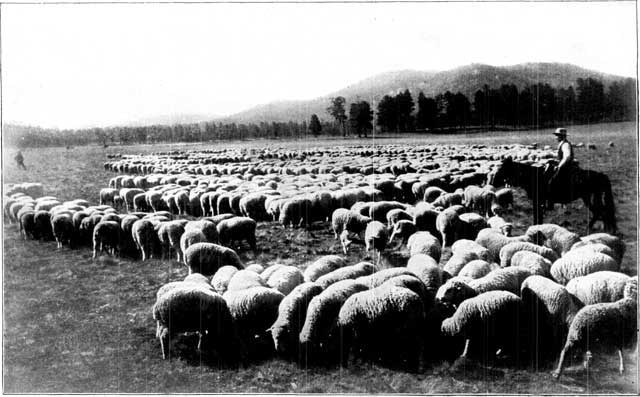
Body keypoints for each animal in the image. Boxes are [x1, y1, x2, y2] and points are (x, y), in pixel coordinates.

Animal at [488, 156, 616, 234]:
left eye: (502, 168)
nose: (493, 182)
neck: (534, 177)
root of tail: (601, 175)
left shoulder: (537, 200)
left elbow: (537, 216)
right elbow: (539, 217)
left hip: (590, 198)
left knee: (599, 212)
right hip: (591, 198)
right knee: (601, 212)